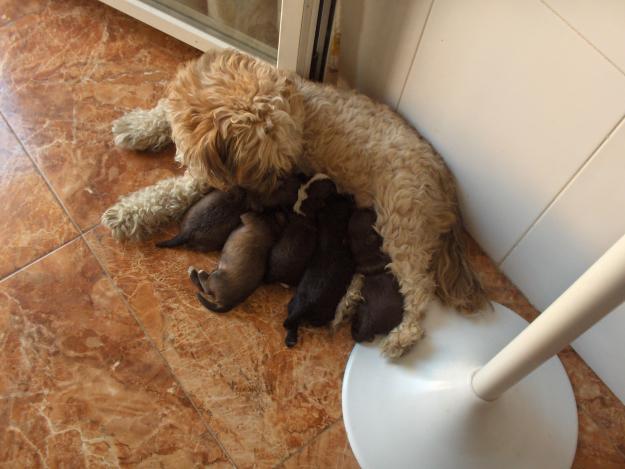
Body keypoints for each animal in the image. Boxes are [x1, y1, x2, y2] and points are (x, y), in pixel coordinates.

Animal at [284, 192, 356, 346]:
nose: (351, 195)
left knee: (291, 323)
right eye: (345, 199)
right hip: (322, 315)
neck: (330, 239)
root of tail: (304, 305)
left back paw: (291, 339)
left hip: (292, 304)